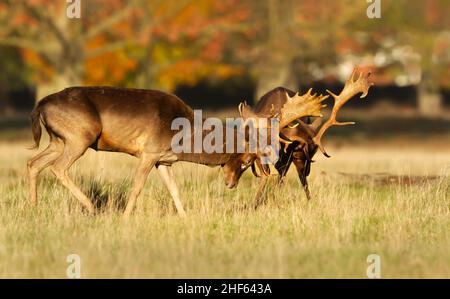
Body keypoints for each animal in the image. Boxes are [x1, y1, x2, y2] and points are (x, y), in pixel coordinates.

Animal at [246, 68, 372, 206]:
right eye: (300, 154)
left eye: (312, 154)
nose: (307, 170)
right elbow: (265, 175)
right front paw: (255, 203)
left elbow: (280, 178)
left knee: (295, 180)